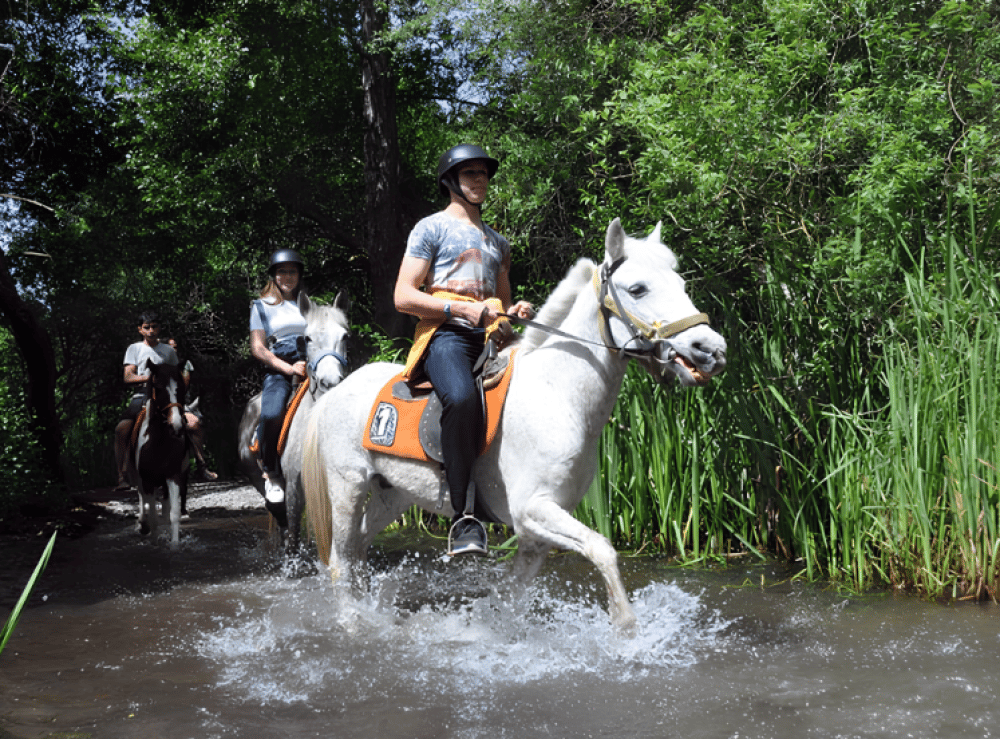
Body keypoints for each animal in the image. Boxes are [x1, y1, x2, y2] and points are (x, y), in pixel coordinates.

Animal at [126, 359, 190, 547]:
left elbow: (173, 514)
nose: (176, 426)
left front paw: (174, 545)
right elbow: (152, 514)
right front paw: (153, 538)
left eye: (181, 389)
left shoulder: (173, 476)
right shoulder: (147, 481)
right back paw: (142, 524)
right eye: (159, 388)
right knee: (142, 499)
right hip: (138, 477)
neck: (159, 444)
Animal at [237, 291, 351, 564]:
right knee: (278, 515)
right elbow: (293, 534)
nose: (330, 382)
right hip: (258, 476)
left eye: (345, 336)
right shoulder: (295, 488)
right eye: (307, 338)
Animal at [301, 218, 728, 631]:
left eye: (681, 284)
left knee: (357, 550)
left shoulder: (536, 532)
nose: (712, 350)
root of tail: (337, 388)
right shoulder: (533, 509)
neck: (558, 393)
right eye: (637, 289)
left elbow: (512, 594)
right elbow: (603, 549)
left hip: (394, 494)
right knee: (340, 561)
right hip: (347, 486)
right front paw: (626, 630)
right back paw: (352, 623)